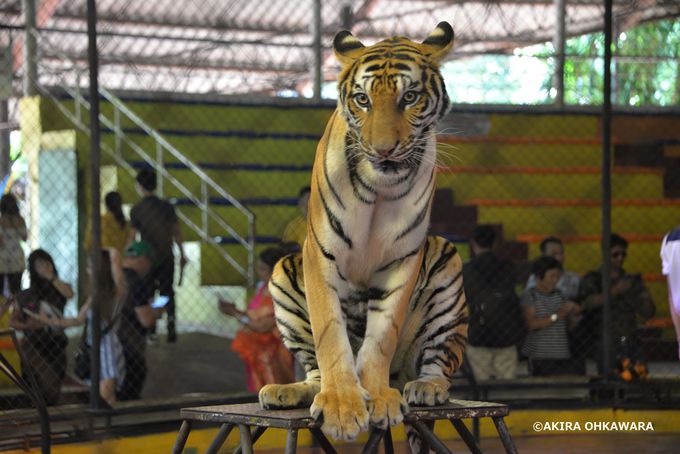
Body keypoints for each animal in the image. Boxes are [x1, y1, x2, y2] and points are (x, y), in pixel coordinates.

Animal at [258, 22, 470, 446]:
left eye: (409, 97)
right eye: (362, 100)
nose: (384, 150)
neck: (380, 189)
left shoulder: (403, 258)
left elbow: (381, 336)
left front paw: (378, 398)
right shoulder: (321, 253)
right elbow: (330, 335)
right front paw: (342, 407)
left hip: (447, 267)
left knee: (438, 360)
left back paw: (425, 387)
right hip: (283, 272)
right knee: (314, 370)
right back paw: (287, 391)